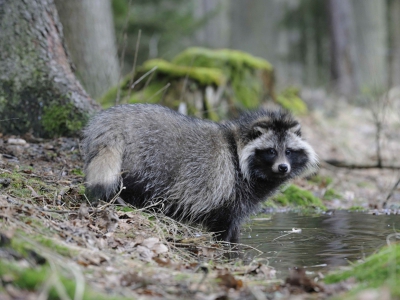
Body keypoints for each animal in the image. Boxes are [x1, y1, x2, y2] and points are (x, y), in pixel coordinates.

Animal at [82, 104, 318, 243]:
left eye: (288, 151)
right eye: (271, 152)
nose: (283, 167)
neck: (238, 145)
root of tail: (113, 122)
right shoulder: (232, 189)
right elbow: (225, 224)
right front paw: (227, 248)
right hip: (149, 158)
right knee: (135, 185)